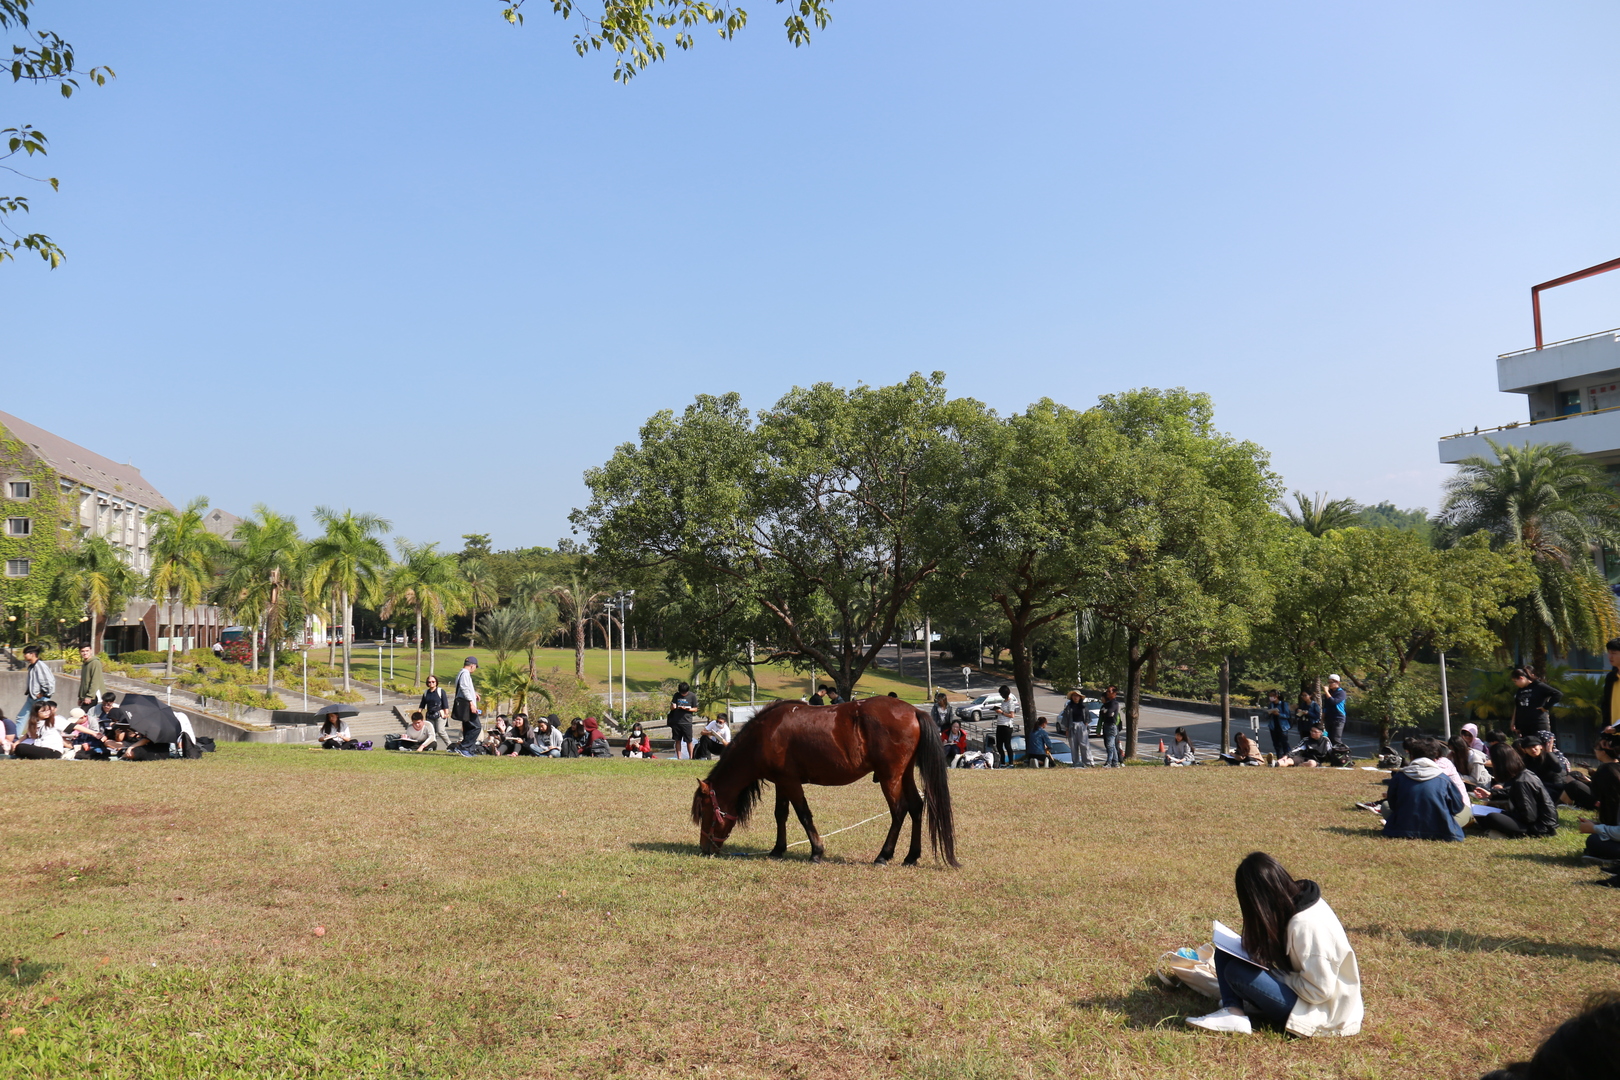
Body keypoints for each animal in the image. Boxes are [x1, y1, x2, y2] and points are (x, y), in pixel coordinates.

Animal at [690, 696, 959, 867]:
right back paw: (911, 857)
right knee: (916, 807)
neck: (764, 735)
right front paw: (778, 849)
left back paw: (884, 855)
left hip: (889, 777)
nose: (704, 849)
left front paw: (816, 852)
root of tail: (914, 710)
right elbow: (781, 814)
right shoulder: (781, 782)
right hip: (904, 775)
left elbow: (803, 814)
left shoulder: (791, 782)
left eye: (705, 812)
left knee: (899, 810)